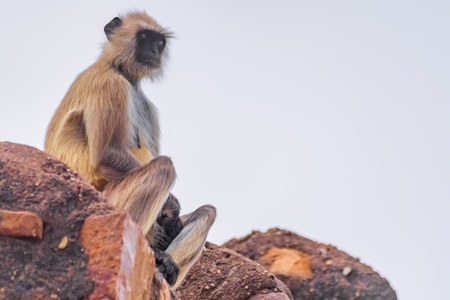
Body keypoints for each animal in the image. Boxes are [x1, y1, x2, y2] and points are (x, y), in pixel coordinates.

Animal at [44, 10, 216, 290]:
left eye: (159, 42)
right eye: (144, 37)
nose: (153, 51)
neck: (123, 73)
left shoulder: (148, 107)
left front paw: (173, 217)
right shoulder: (110, 84)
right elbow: (107, 154)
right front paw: (171, 206)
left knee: (207, 212)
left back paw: (164, 264)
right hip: (109, 202)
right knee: (164, 167)